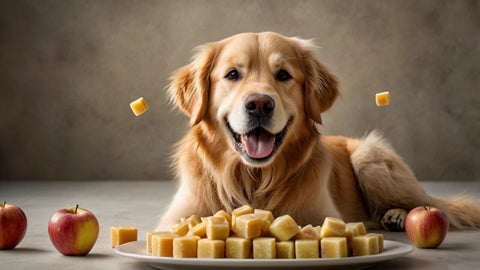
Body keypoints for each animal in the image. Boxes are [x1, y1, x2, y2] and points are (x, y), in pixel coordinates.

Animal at [158, 31, 480, 230]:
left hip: (369, 158)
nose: (259, 105)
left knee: (431, 207)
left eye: (283, 75)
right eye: (232, 74)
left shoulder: (322, 215)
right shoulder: (176, 219)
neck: (254, 180)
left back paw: (399, 216)